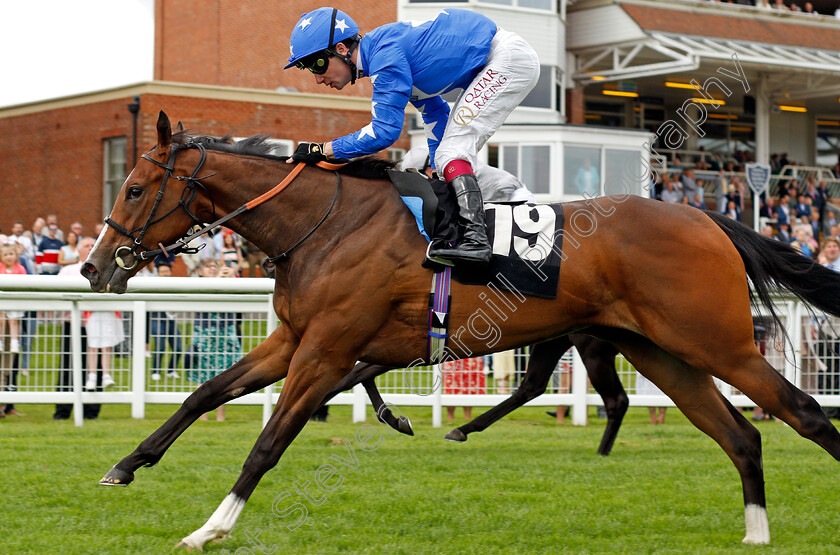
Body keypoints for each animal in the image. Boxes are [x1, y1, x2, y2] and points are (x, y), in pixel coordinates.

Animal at [83, 112, 840, 548]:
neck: (324, 222)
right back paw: (755, 533)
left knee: (802, 411)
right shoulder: (292, 340)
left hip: (717, 343)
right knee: (741, 435)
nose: (93, 266)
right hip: (660, 352)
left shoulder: (327, 351)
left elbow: (269, 443)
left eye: (134, 187)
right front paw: (125, 465)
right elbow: (203, 394)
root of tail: (708, 216)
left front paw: (211, 526)